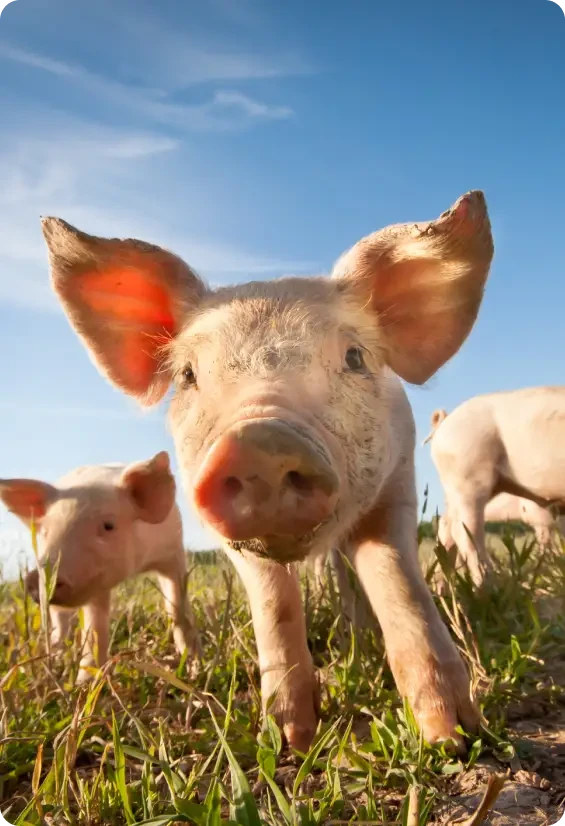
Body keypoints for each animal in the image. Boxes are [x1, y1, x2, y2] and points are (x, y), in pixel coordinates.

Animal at [0, 452, 199, 682]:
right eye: (45, 532)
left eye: (108, 525)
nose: (33, 578)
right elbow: (95, 627)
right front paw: (84, 683)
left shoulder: (172, 551)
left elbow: (177, 607)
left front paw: (194, 667)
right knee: (60, 621)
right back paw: (56, 652)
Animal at [40, 189, 493, 753]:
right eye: (188, 375)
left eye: (354, 356)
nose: (259, 442)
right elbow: (275, 605)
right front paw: (290, 738)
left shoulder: (398, 484)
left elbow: (398, 581)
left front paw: (453, 736)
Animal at [424, 391, 565, 587]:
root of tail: (445, 419)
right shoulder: (535, 509)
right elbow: (546, 534)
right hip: (468, 476)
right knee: (465, 532)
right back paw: (489, 586)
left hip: (456, 489)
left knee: (446, 530)